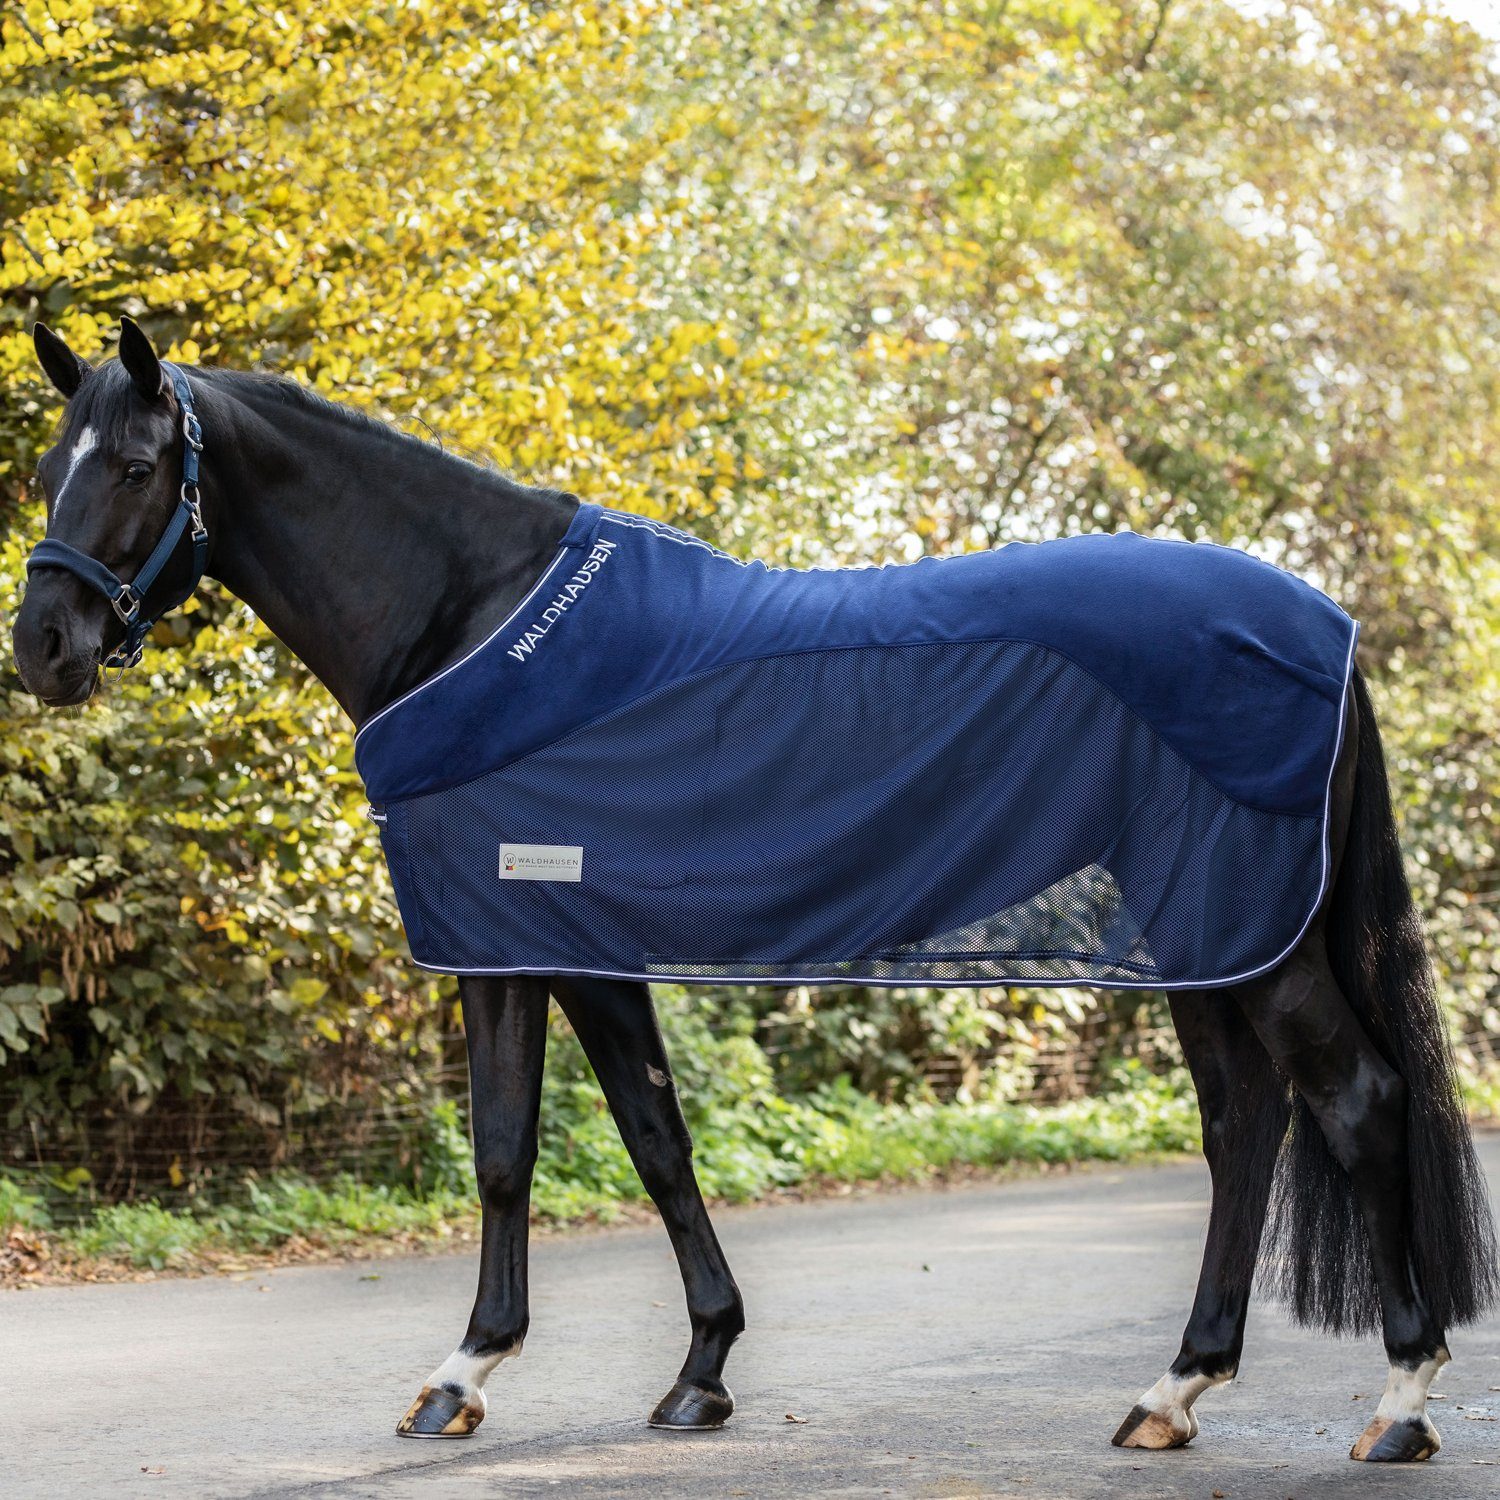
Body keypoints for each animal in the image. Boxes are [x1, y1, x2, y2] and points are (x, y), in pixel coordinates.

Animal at [12, 318, 1496, 1465]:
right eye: (46, 468)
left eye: (135, 466)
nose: (44, 648)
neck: (470, 621)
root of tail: (1324, 626)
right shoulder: (572, 946)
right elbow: (642, 1140)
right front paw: (694, 1370)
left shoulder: (509, 938)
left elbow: (515, 1152)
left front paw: (468, 1374)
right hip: (1205, 933)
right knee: (1247, 1123)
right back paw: (1173, 1393)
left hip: (1251, 938)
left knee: (1355, 1103)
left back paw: (1401, 1404)